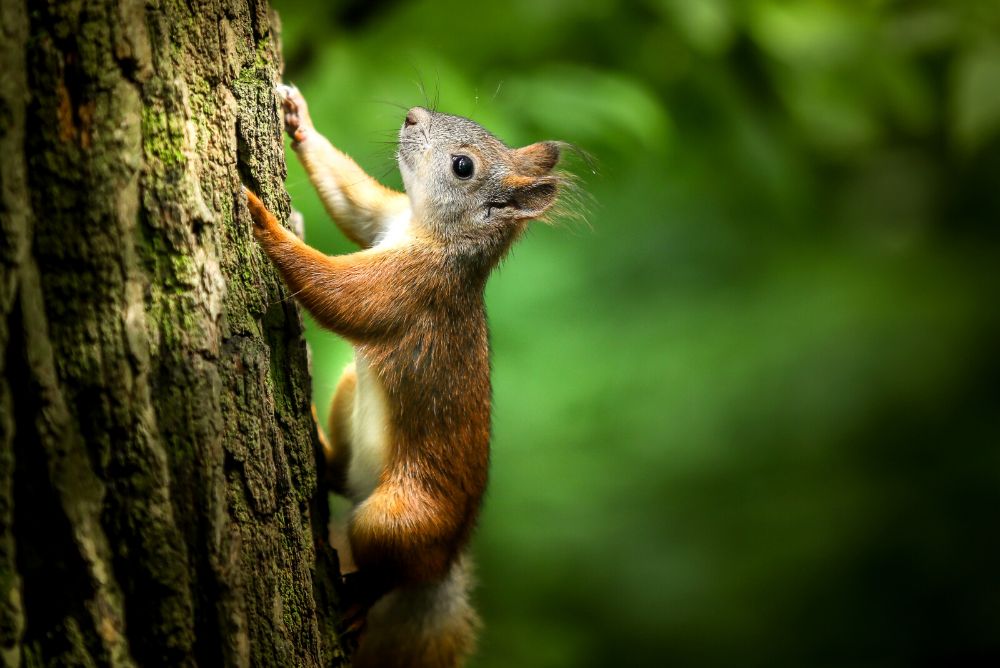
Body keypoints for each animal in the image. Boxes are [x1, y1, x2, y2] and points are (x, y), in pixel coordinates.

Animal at [243, 84, 567, 668]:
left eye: (463, 166)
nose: (413, 116)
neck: (427, 231)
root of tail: (443, 564)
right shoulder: (386, 218)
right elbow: (356, 204)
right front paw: (298, 118)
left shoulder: (413, 288)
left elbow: (338, 295)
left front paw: (264, 223)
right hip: (349, 398)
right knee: (342, 475)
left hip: (397, 521)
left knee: (390, 571)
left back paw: (360, 600)